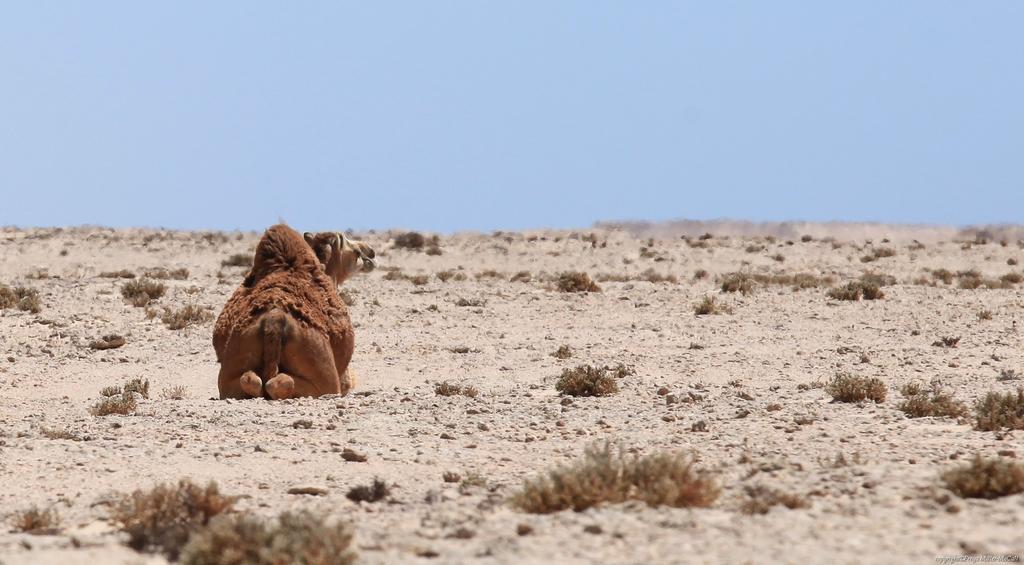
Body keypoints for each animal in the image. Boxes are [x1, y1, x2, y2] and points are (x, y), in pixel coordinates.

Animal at [211, 225, 376, 401]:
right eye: (355, 251)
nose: (371, 252)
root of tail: (274, 318)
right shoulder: (344, 377)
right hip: (325, 377)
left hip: (231, 370)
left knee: (250, 380)